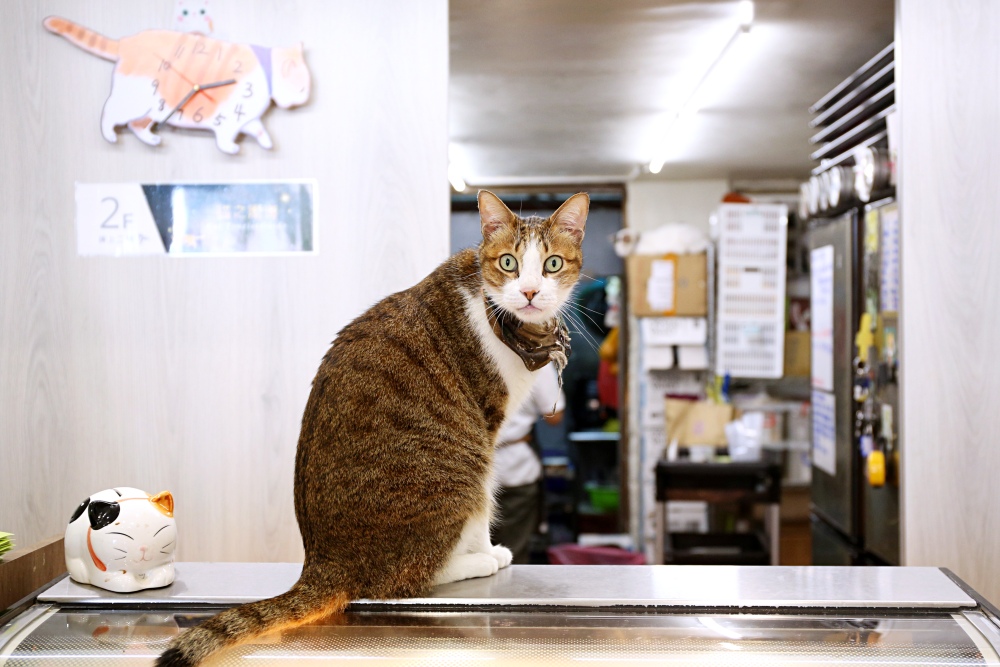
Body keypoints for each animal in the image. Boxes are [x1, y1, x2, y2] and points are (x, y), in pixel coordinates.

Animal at [158, 190, 584, 664]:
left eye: (552, 264)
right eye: (508, 262)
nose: (529, 292)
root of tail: (324, 563)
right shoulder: (486, 427)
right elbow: (478, 520)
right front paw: (487, 550)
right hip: (459, 471)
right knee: (408, 575)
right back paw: (472, 562)